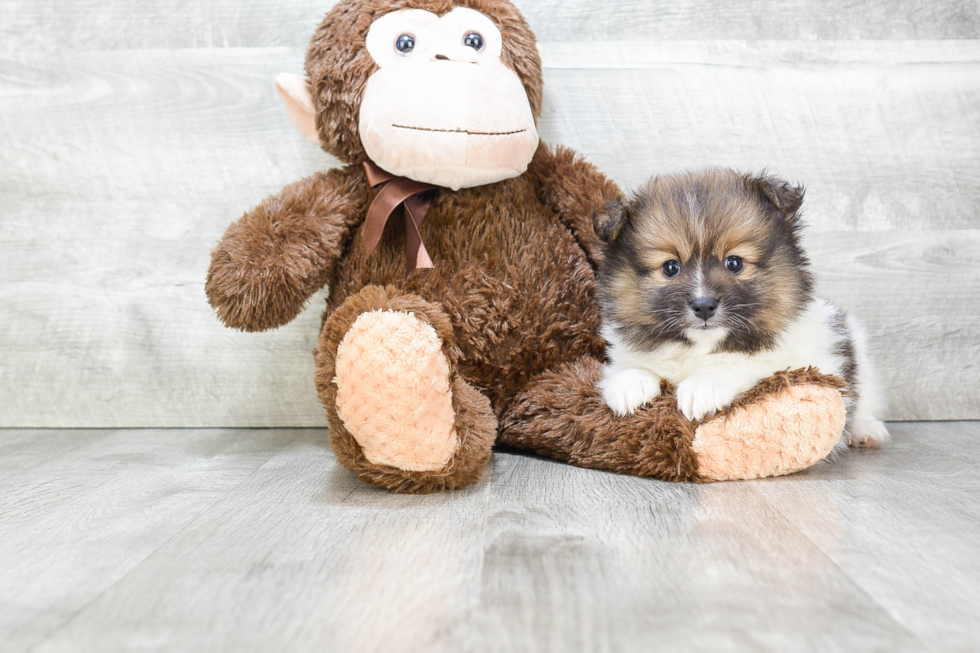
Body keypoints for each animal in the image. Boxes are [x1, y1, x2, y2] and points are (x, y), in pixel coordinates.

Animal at [596, 167, 888, 448]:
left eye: (734, 263)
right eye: (670, 267)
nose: (704, 306)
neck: (700, 349)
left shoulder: (797, 360)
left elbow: (742, 362)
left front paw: (703, 385)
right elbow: (630, 365)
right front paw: (629, 385)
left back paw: (866, 431)